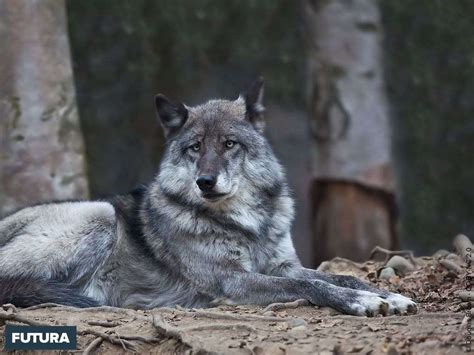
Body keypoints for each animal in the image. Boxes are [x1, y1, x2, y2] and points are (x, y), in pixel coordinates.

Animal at [0, 78, 414, 318]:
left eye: (229, 144)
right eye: (196, 147)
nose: (205, 182)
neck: (247, 224)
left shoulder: (283, 266)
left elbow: (340, 276)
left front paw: (386, 296)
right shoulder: (233, 280)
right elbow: (312, 286)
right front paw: (363, 303)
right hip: (99, 213)